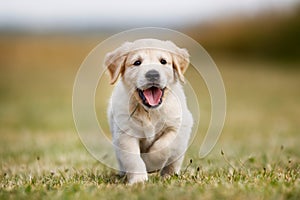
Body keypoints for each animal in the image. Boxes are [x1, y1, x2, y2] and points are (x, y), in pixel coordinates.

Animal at [104, 38, 193, 184]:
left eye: (163, 61)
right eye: (137, 62)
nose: (153, 74)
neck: (149, 112)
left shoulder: (177, 127)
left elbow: (163, 147)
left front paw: (150, 164)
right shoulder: (125, 133)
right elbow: (133, 159)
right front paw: (138, 180)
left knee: (174, 160)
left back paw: (169, 175)